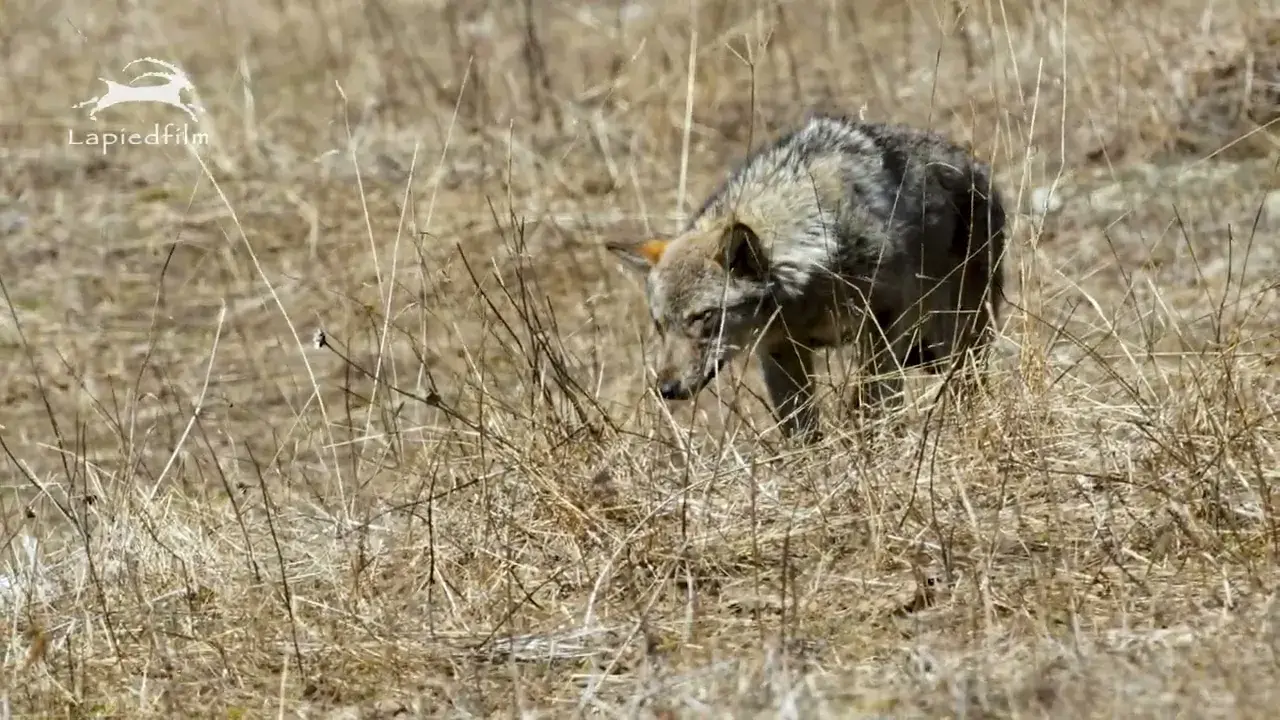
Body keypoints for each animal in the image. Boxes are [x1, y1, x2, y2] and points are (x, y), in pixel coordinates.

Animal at [606, 112, 1006, 442]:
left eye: (703, 317)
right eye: (660, 326)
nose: (667, 389)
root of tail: (979, 169)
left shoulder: (883, 326)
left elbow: (868, 403)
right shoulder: (778, 351)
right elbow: (801, 432)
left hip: (957, 342)